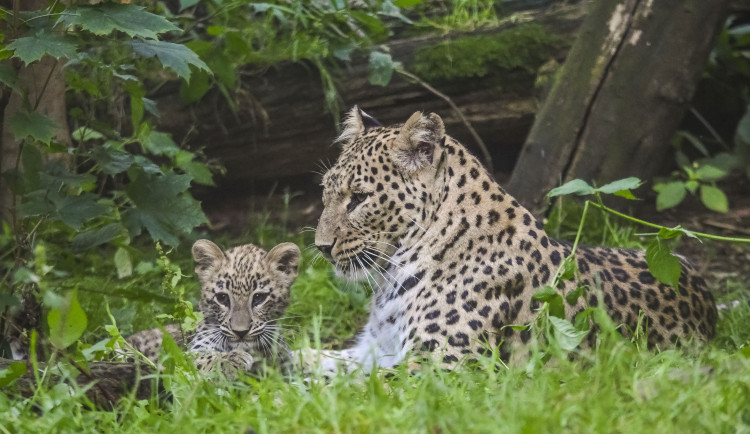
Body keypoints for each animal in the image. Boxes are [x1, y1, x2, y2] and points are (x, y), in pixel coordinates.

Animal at [308, 107, 720, 372]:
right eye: (326, 191)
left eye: (359, 198)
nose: (321, 247)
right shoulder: (375, 350)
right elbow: (318, 359)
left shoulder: (438, 369)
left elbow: (348, 390)